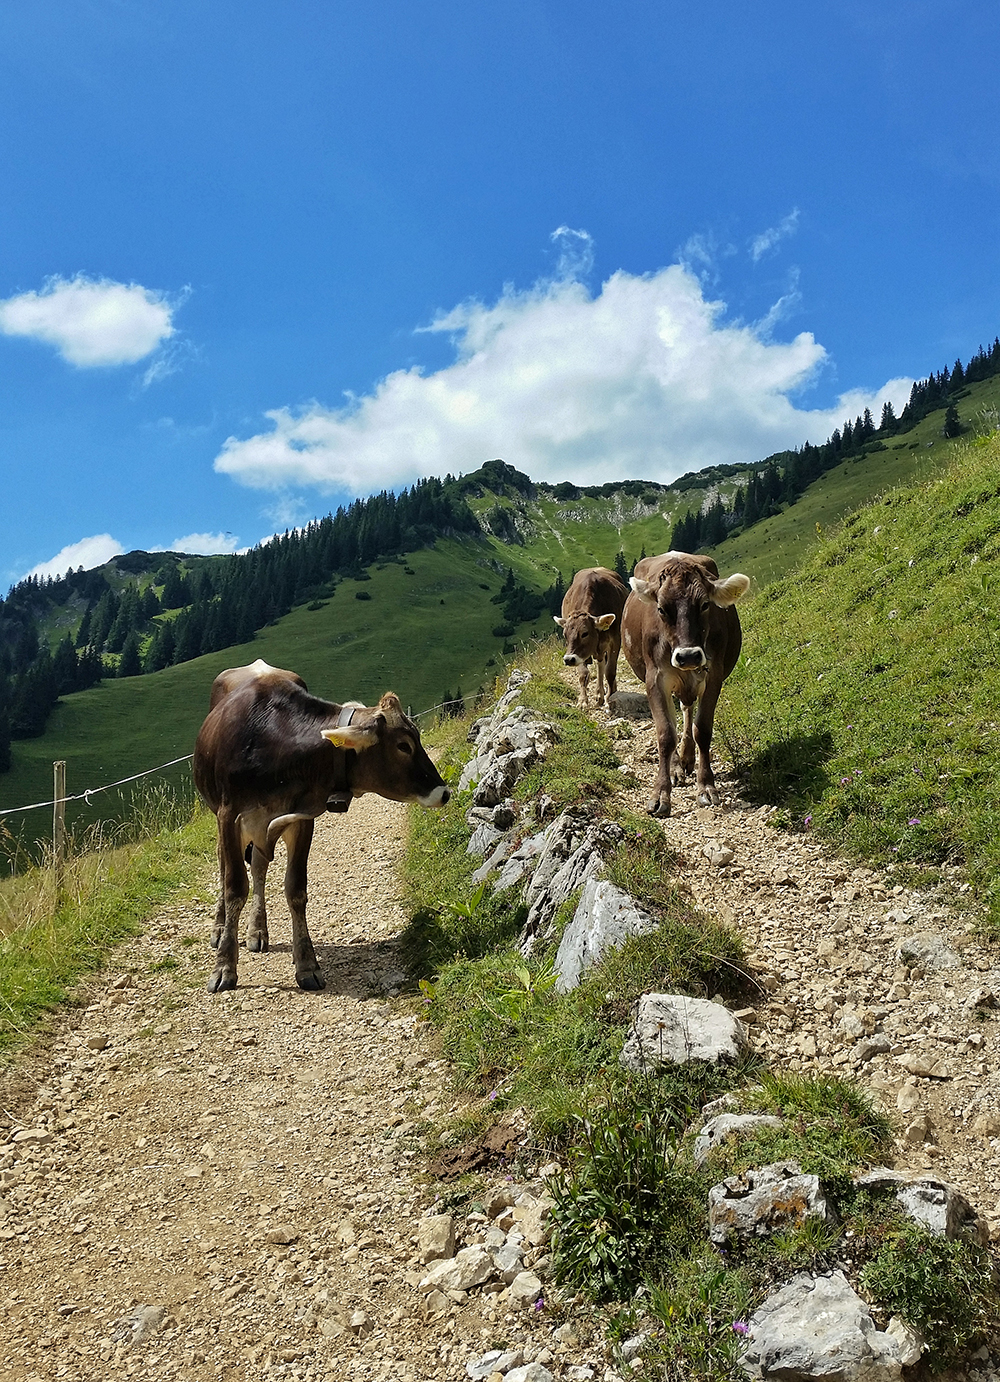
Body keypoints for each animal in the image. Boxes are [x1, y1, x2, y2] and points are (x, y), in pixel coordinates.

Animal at [191, 660, 450, 995]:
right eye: (403, 745)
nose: (443, 792)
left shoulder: (302, 819)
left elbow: (296, 889)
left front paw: (307, 965)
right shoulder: (229, 816)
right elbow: (234, 887)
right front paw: (224, 966)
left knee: (259, 866)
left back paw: (257, 930)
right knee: (224, 865)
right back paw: (220, 927)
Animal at [549, 563, 629, 707]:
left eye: (585, 633)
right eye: (565, 635)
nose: (568, 659)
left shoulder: (615, 640)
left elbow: (610, 672)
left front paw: (609, 697)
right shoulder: (580, 654)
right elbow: (583, 674)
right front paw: (582, 701)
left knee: (602, 665)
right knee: (599, 664)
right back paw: (599, 694)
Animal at [624, 544, 751, 812]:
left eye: (704, 604)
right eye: (661, 608)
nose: (688, 656)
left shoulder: (713, 675)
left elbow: (702, 729)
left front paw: (706, 786)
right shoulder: (655, 678)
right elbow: (665, 733)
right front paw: (660, 794)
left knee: (687, 709)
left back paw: (687, 758)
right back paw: (676, 768)